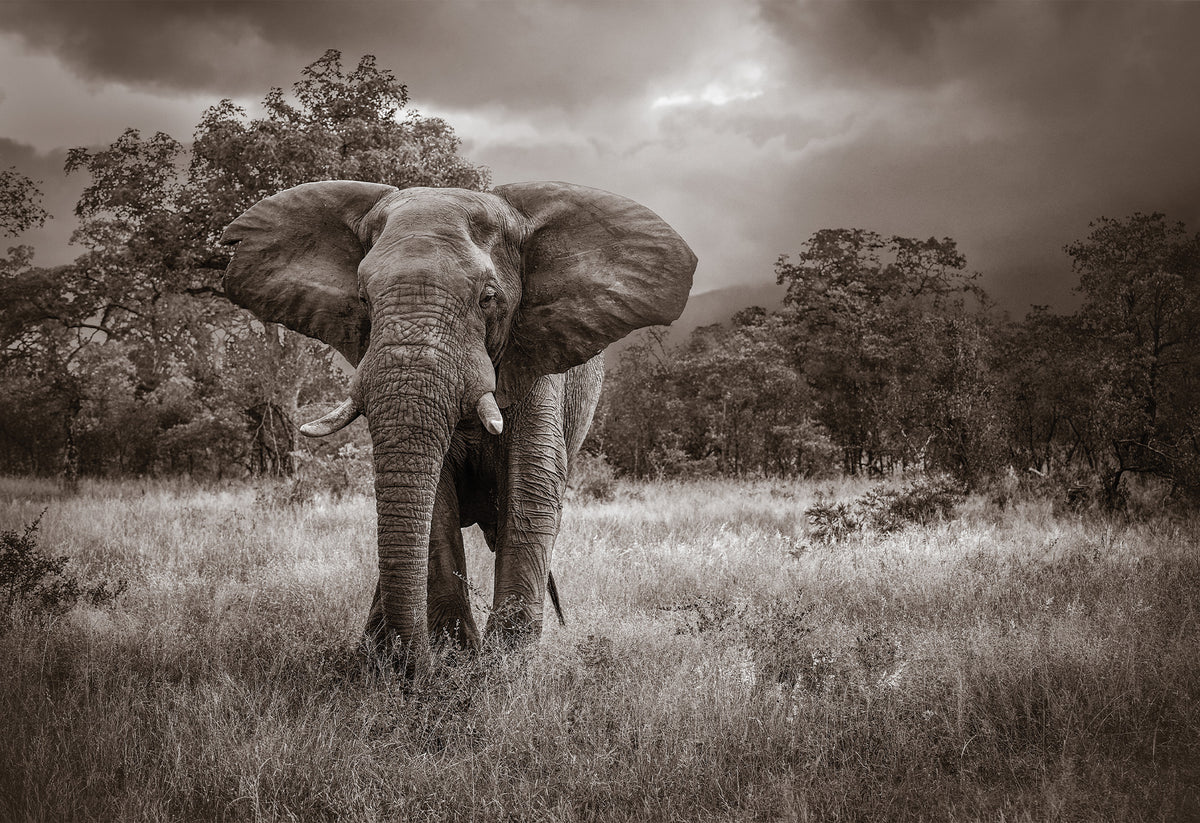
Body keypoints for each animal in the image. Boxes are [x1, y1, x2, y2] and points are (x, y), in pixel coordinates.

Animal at [221, 180, 696, 675]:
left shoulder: (539, 360)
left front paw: (503, 668)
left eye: (488, 298)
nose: (418, 668)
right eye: (364, 300)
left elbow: (532, 486)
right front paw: (454, 658)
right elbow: (435, 502)